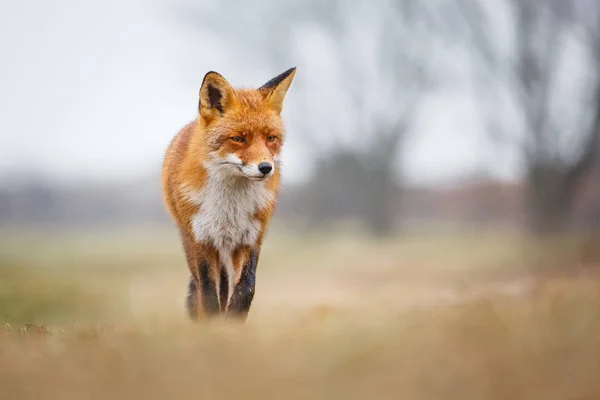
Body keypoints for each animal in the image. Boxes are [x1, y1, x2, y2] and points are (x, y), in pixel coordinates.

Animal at [162, 67, 298, 320]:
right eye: (238, 139)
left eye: (271, 138)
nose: (266, 168)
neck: (229, 207)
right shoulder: (202, 240)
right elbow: (208, 295)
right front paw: (214, 325)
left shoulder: (251, 238)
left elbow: (246, 289)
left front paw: (232, 322)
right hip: (191, 243)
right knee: (200, 287)